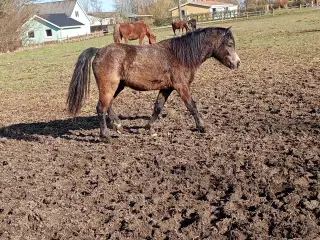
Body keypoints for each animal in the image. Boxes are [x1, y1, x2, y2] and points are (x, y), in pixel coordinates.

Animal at [66, 27, 240, 142]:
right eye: (230, 44)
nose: (237, 63)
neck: (180, 55)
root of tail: (99, 51)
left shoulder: (167, 88)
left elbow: (158, 107)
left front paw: (148, 127)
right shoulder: (181, 86)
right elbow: (192, 105)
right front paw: (202, 126)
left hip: (117, 86)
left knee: (108, 105)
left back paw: (118, 125)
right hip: (109, 86)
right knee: (101, 107)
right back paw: (106, 136)